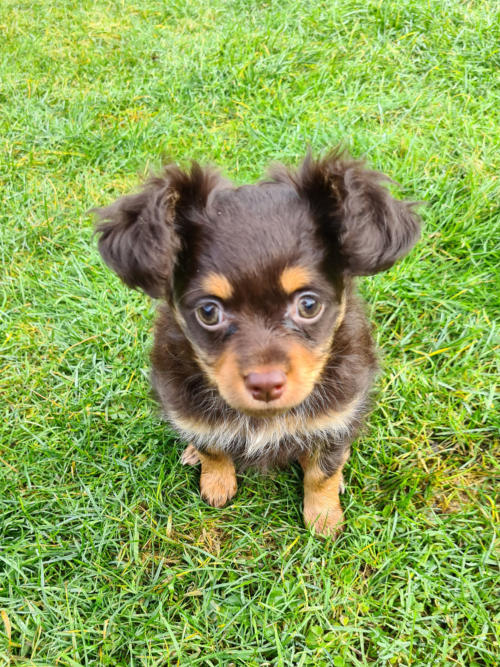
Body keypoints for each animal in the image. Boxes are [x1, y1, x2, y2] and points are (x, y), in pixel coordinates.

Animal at [95, 149, 420, 537]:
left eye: (308, 305)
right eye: (208, 311)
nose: (266, 385)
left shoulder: (339, 416)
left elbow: (323, 472)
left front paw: (324, 519)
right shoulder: (185, 405)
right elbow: (212, 447)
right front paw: (217, 483)